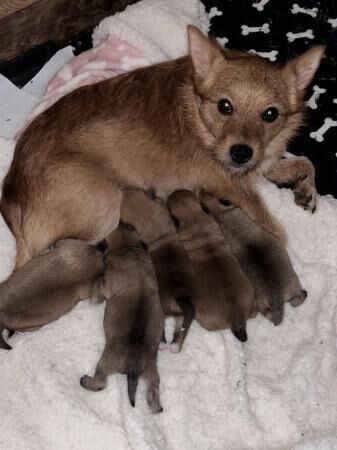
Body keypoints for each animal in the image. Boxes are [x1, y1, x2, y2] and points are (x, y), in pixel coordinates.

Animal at [1, 25, 324, 270]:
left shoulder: (260, 164)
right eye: (225, 106)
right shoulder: (234, 186)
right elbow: (277, 231)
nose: (241, 152)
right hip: (104, 204)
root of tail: (12, 195)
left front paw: (306, 190)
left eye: (270, 114)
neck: (198, 117)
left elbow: (305, 161)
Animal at [79, 223, 163, 414]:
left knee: (101, 382)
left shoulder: (105, 284)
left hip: (105, 361)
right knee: (153, 388)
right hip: (152, 371)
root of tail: (134, 366)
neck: (128, 247)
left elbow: (97, 287)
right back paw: (156, 406)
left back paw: (87, 382)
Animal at [120, 188, 194, 354]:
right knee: (181, 332)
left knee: (163, 332)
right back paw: (174, 346)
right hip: (182, 317)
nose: (124, 189)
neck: (161, 234)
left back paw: (162, 344)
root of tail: (178, 295)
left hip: (162, 312)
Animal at [200, 192, 308, 326]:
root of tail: (277, 297)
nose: (202, 192)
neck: (223, 215)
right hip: (293, 286)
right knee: (296, 301)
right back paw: (304, 294)